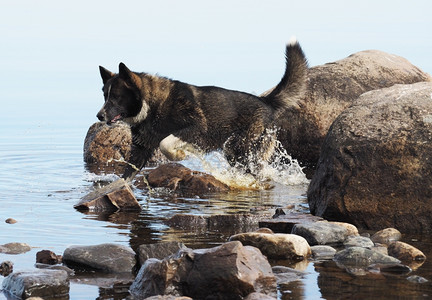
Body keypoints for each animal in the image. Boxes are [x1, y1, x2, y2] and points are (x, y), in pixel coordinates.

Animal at [98, 38, 308, 182]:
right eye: (104, 95)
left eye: (116, 97)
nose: (99, 115)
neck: (153, 105)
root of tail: (265, 100)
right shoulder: (140, 151)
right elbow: (126, 175)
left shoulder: (196, 127)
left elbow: (166, 143)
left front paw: (179, 155)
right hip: (235, 153)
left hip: (242, 149)